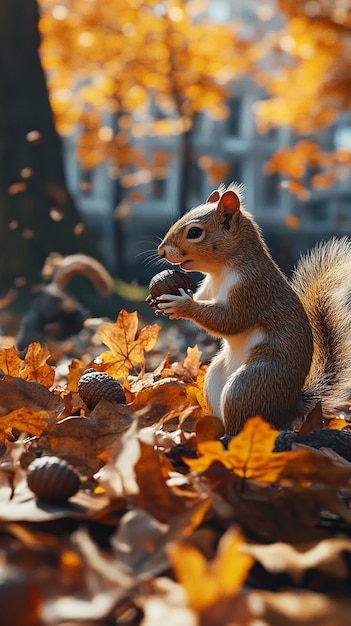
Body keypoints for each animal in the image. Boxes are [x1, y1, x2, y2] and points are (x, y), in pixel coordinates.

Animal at [155, 182, 351, 434]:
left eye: (195, 232)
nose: (161, 251)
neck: (220, 271)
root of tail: (287, 410)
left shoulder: (251, 288)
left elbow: (230, 321)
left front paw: (181, 304)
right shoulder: (207, 289)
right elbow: (204, 302)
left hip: (250, 384)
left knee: (241, 419)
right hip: (215, 378)